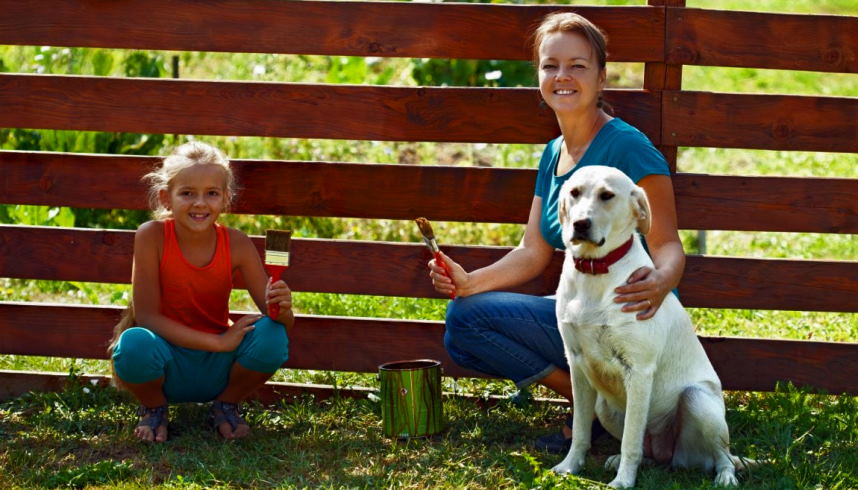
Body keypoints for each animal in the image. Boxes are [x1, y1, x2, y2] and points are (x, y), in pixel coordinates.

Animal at [552, 167, 744, 486]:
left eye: (607, 195)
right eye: (574, 192)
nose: (580, 224)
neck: (595, 272)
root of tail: (672, 456)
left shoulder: (638, 371)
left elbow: (631, 442)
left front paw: (623, 482)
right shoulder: (577, 364)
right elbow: (580, 430)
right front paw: (570, 467)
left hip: (698, 401)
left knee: (722, 456)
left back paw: (725, 477)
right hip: (604, 406)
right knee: (647, 451)